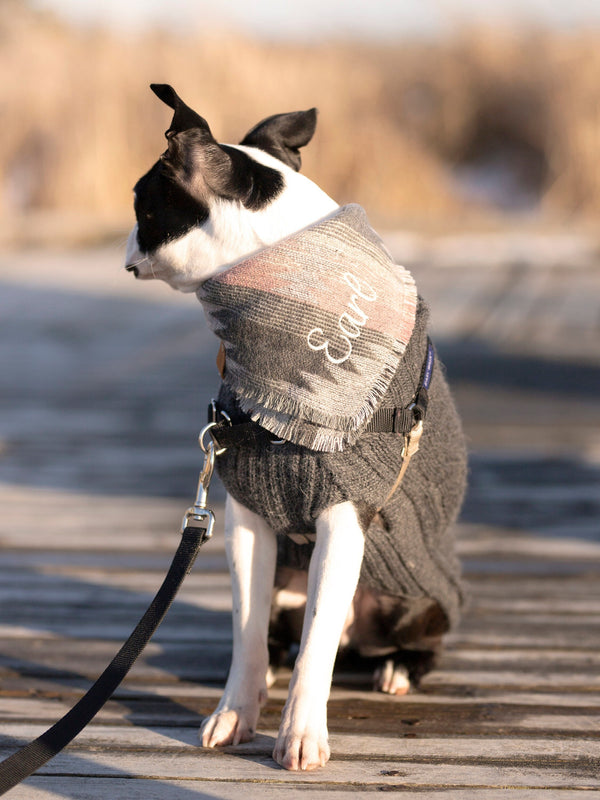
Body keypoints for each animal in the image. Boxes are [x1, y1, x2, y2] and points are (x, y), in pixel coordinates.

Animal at [124, 84, 466, 772]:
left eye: (141, 205)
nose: (124, 245)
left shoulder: (344, 517)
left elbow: (318, 647)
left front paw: (302, 734)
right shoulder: (246, 517)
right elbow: (246, 630)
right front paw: (237, 712)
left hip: (413, 598)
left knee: (391, 643)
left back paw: (396, 670)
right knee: (285, 635)